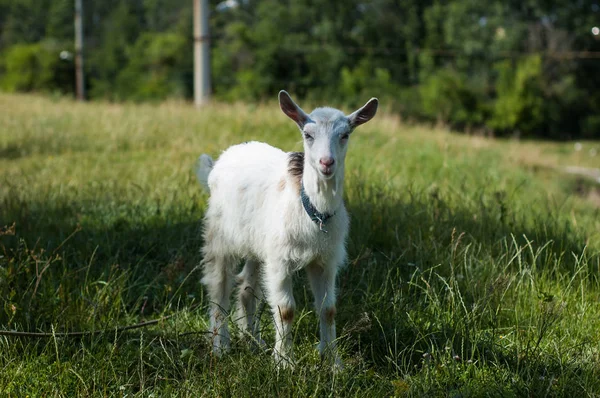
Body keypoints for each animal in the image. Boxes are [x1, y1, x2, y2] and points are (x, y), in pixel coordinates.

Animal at [196, 91, 376, 366]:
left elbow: (328, 309)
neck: (313, 212)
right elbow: (286, 309)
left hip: (258, 245)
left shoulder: (325, 260)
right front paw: (284, 362)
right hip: (219, 236)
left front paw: (333, 362)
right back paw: (220, 346)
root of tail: (221, 159)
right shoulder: (281, 260)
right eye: (307, 134)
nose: (326, 163)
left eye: (345, 134)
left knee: (247, 288)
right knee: (219, 286)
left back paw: (253, 341)